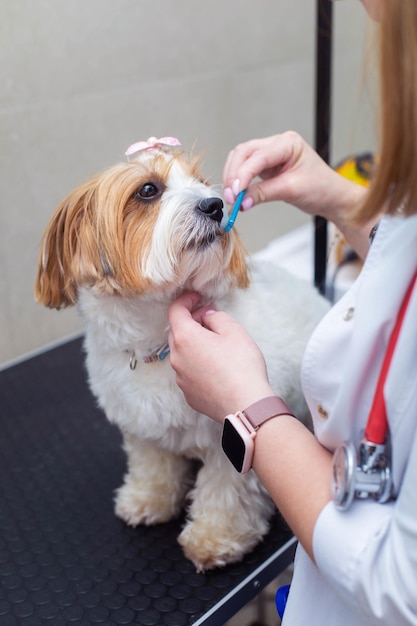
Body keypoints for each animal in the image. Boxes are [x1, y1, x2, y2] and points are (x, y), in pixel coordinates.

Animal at [35, 136, 328, 572]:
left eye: (203, 183)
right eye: (148, 190)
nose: (216, 205)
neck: (156, 343)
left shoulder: (228, 446)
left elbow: (226, 491)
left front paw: (215, 538)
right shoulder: (141, 428)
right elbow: (153, 466)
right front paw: (148, 500)